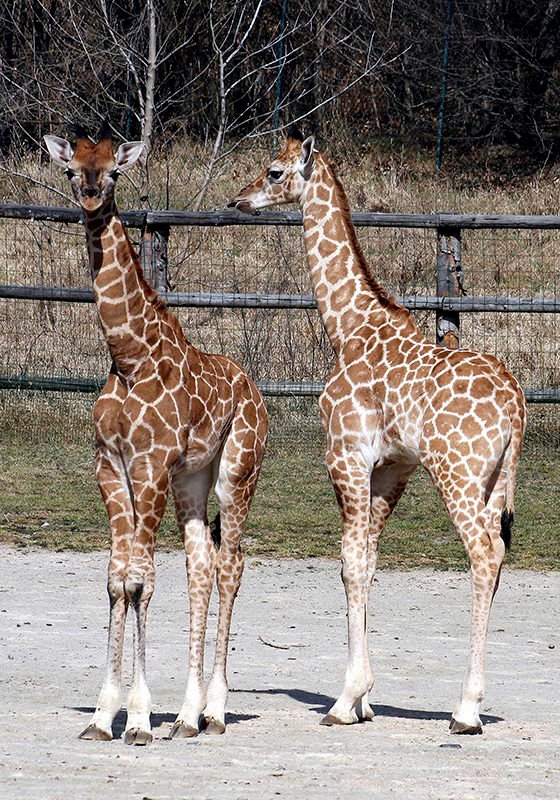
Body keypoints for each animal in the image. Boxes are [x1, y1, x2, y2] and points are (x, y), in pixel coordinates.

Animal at [44, 134, 268, 748]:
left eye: (114, 172)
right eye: (71, 169)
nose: (91, 195)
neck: (128, 356)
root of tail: (259, 394)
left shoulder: (148, 467)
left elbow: (141, 583)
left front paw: (140, 718)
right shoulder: (110, 467)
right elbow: (116, 582)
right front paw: (103, 716)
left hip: (237, 473)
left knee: (232, 565)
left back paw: (215, 711)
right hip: (192, 481)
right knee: (202, 567)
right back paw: (188, 716)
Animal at [230, 133, 528, 736]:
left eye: (273, 172)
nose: (238, 200)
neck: (346, 327)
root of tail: (516, 405)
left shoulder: (345, 456)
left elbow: (349, 564)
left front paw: (346, 699)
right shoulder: (391, 467)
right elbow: (366, 563)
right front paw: (363, 700)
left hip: (458, 475)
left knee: (483, 555)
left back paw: (466, 710)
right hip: (492, 483)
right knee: (498, 553)